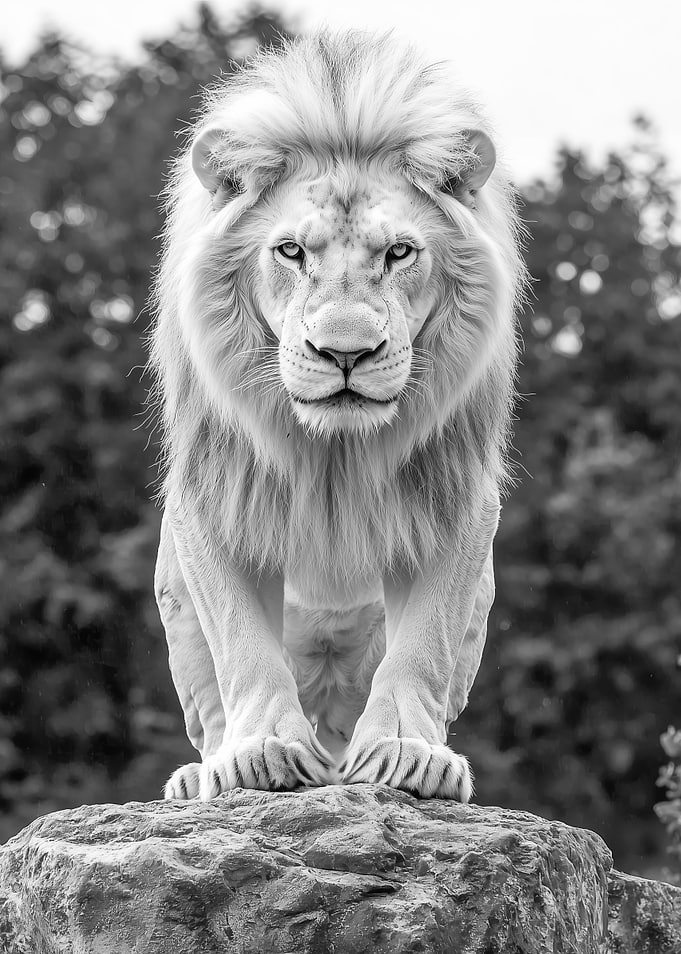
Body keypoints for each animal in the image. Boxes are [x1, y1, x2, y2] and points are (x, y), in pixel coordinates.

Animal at [149, 31, 526, 803]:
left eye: (399, 252)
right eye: (291, 251)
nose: (345, 353)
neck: (335, 451)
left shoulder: (456, 493)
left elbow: (424, 642)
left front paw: (410, 754)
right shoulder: (212, 489)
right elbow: (242, 641)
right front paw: (260, 754)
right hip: (173, 603)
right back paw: (198, 778)